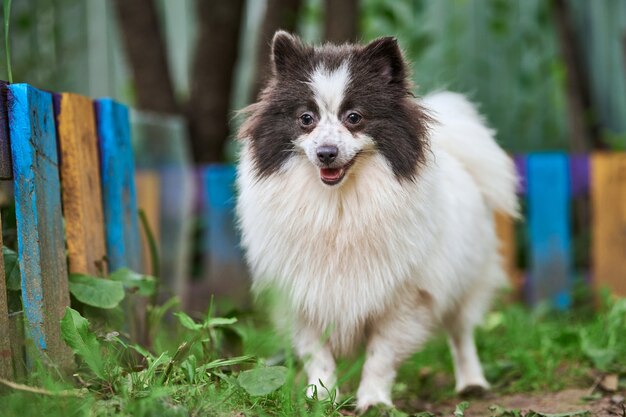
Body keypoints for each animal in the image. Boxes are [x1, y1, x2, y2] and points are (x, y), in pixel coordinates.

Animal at [235, 30, 516, 412]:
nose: (326, 152)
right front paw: (320, 398)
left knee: (461, 332)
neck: (338, 205)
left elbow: (380, 355)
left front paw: (374, 401)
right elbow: (316, 354)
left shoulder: (404, 299)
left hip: (465, 278)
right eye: (306, 118)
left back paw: (472, 383)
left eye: (354, 117)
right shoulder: (304, 295)